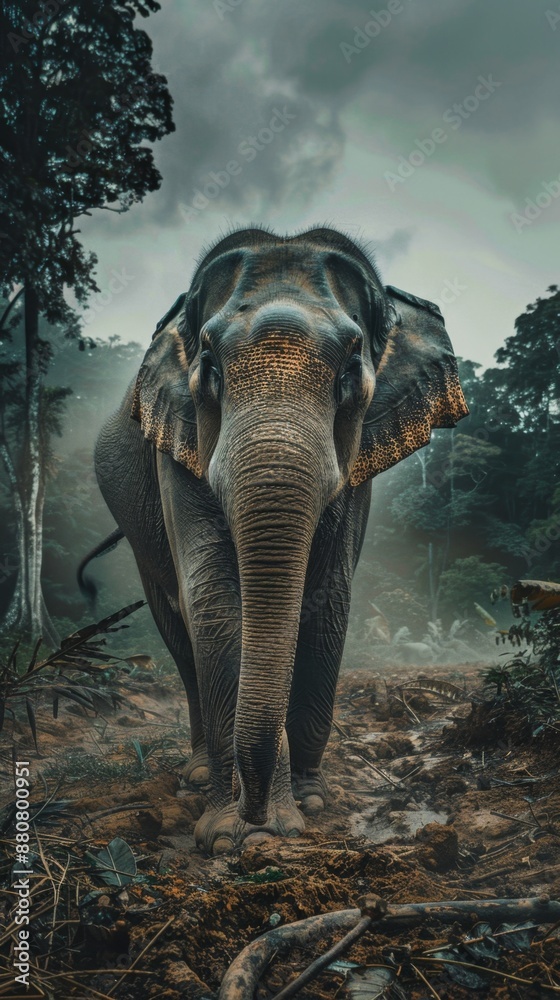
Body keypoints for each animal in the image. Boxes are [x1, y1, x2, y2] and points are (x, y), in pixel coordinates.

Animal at [80, 226, 468, 855]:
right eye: (209, 365)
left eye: (350, 368)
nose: (255, 812)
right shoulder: (176, 447)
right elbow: (214, 601)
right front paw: (228, 833)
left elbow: (326, 598)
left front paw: (306, 805)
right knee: (176, 623)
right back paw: (195, 777)